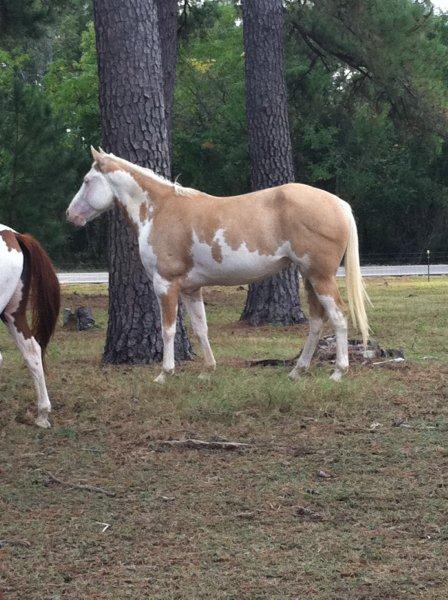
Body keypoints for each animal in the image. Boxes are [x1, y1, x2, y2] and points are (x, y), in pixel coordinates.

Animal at [65, 148, 368, 382]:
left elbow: (168, 329)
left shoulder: (165, 284)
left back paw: (338, 372)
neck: (159, 210)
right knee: (317, 321)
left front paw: (165, 373)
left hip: (321, 277)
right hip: (309, 277)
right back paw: (297, 370)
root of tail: (339, 204)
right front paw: (207, 370)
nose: (70, 215)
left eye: (87, 180)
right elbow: (201, 327)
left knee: (339, 316)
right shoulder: (190, 288)